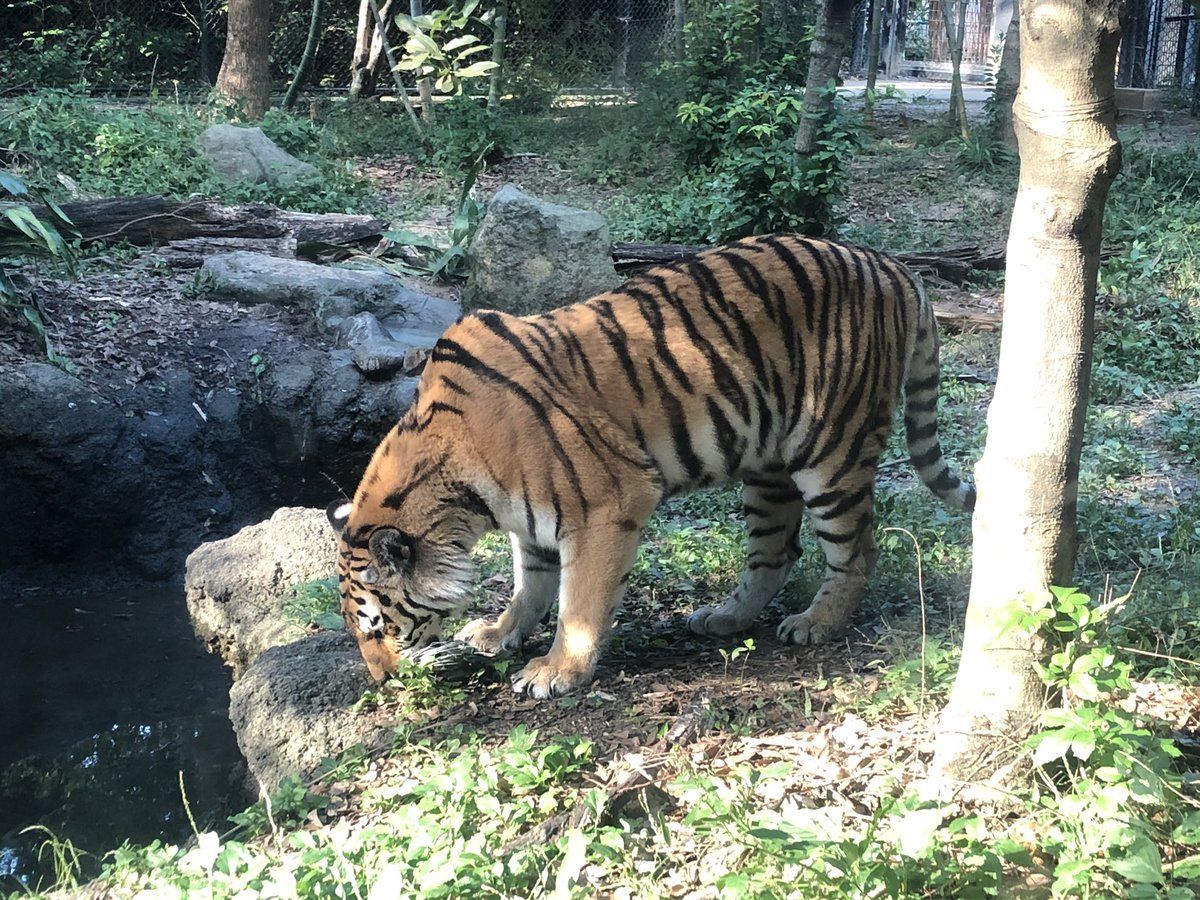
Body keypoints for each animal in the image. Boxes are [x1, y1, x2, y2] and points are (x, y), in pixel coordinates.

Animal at [327, 233, 975, 698]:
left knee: (858, 548)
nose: (381, 681)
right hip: (767, 465)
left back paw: (817, 623)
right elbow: (530, 586)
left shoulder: (607, 502)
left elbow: (579, 601)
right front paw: (498, 633)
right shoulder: (530, 524)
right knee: (775, 551)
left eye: (378, 626)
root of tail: (894, 266)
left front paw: (556, 671)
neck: (459, 493)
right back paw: (724, 618)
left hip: (832, 452)